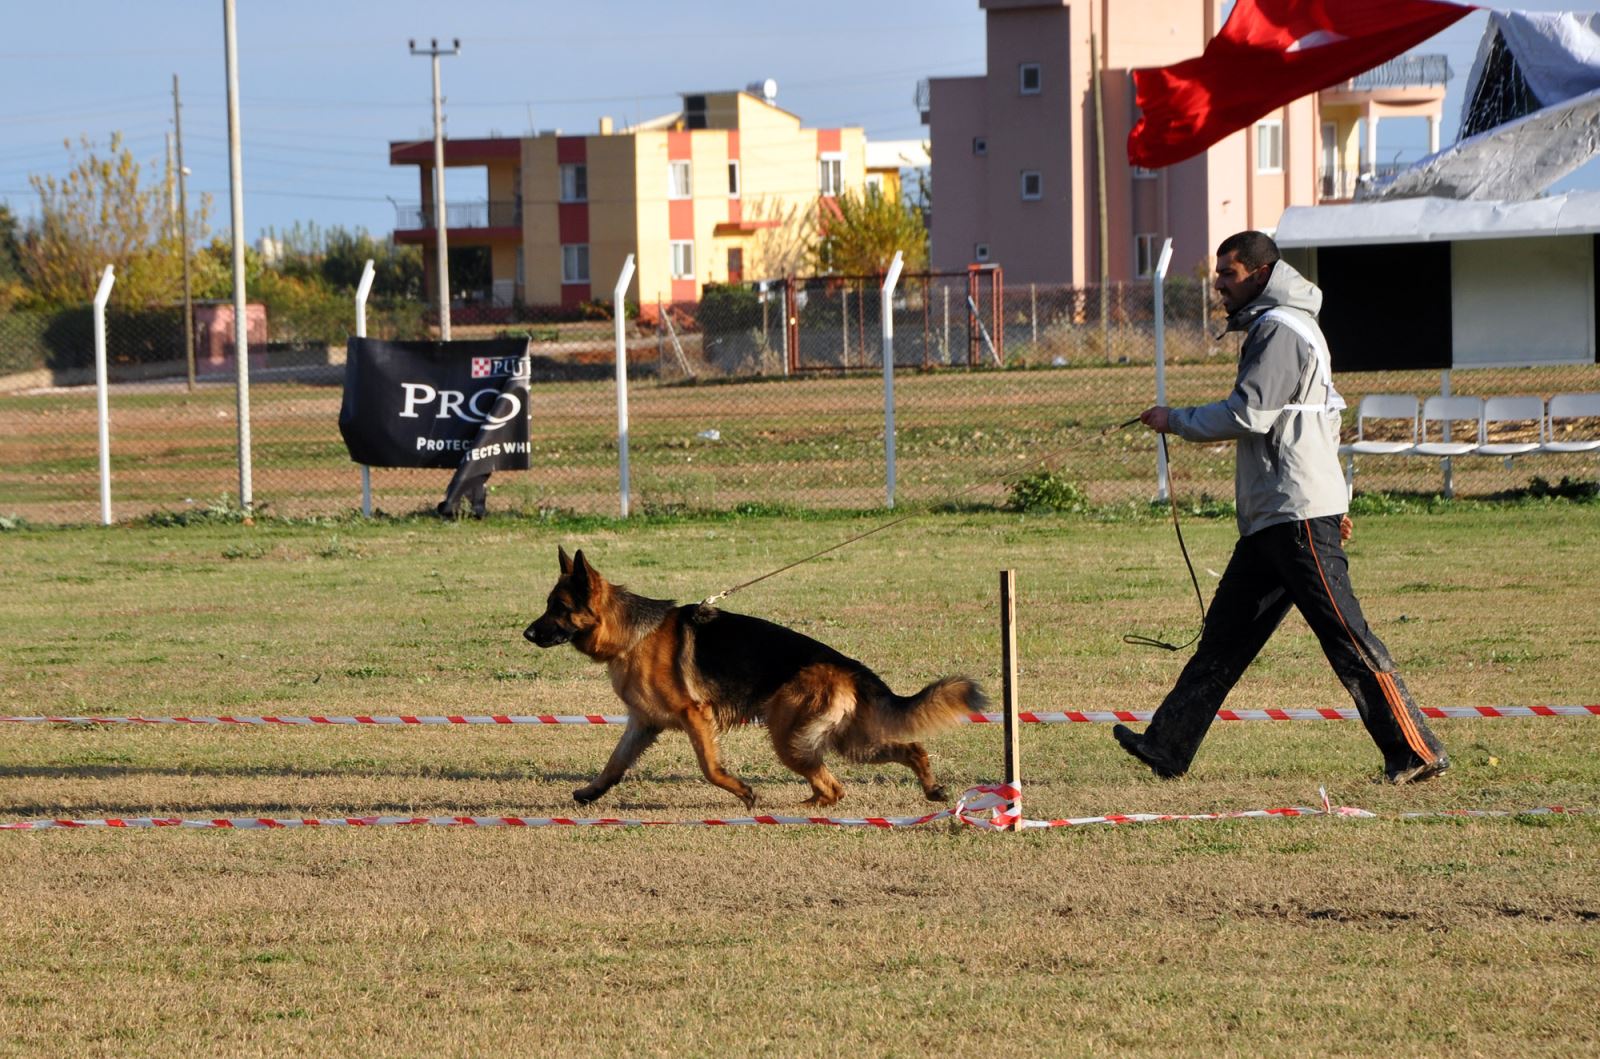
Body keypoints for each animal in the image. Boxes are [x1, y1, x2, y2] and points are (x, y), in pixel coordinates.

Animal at [521, 550, 985, 809]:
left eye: (558, 607)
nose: (526, 634)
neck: (632, 633)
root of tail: (847, 665)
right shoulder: (644, 723)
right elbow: (615, 764)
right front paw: (590, 794)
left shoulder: (694, 716)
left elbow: (710, 767)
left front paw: (744, 792)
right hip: (844, 741)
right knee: (904, 752)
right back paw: (929, 790)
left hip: (791, 738)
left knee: (835, 786)